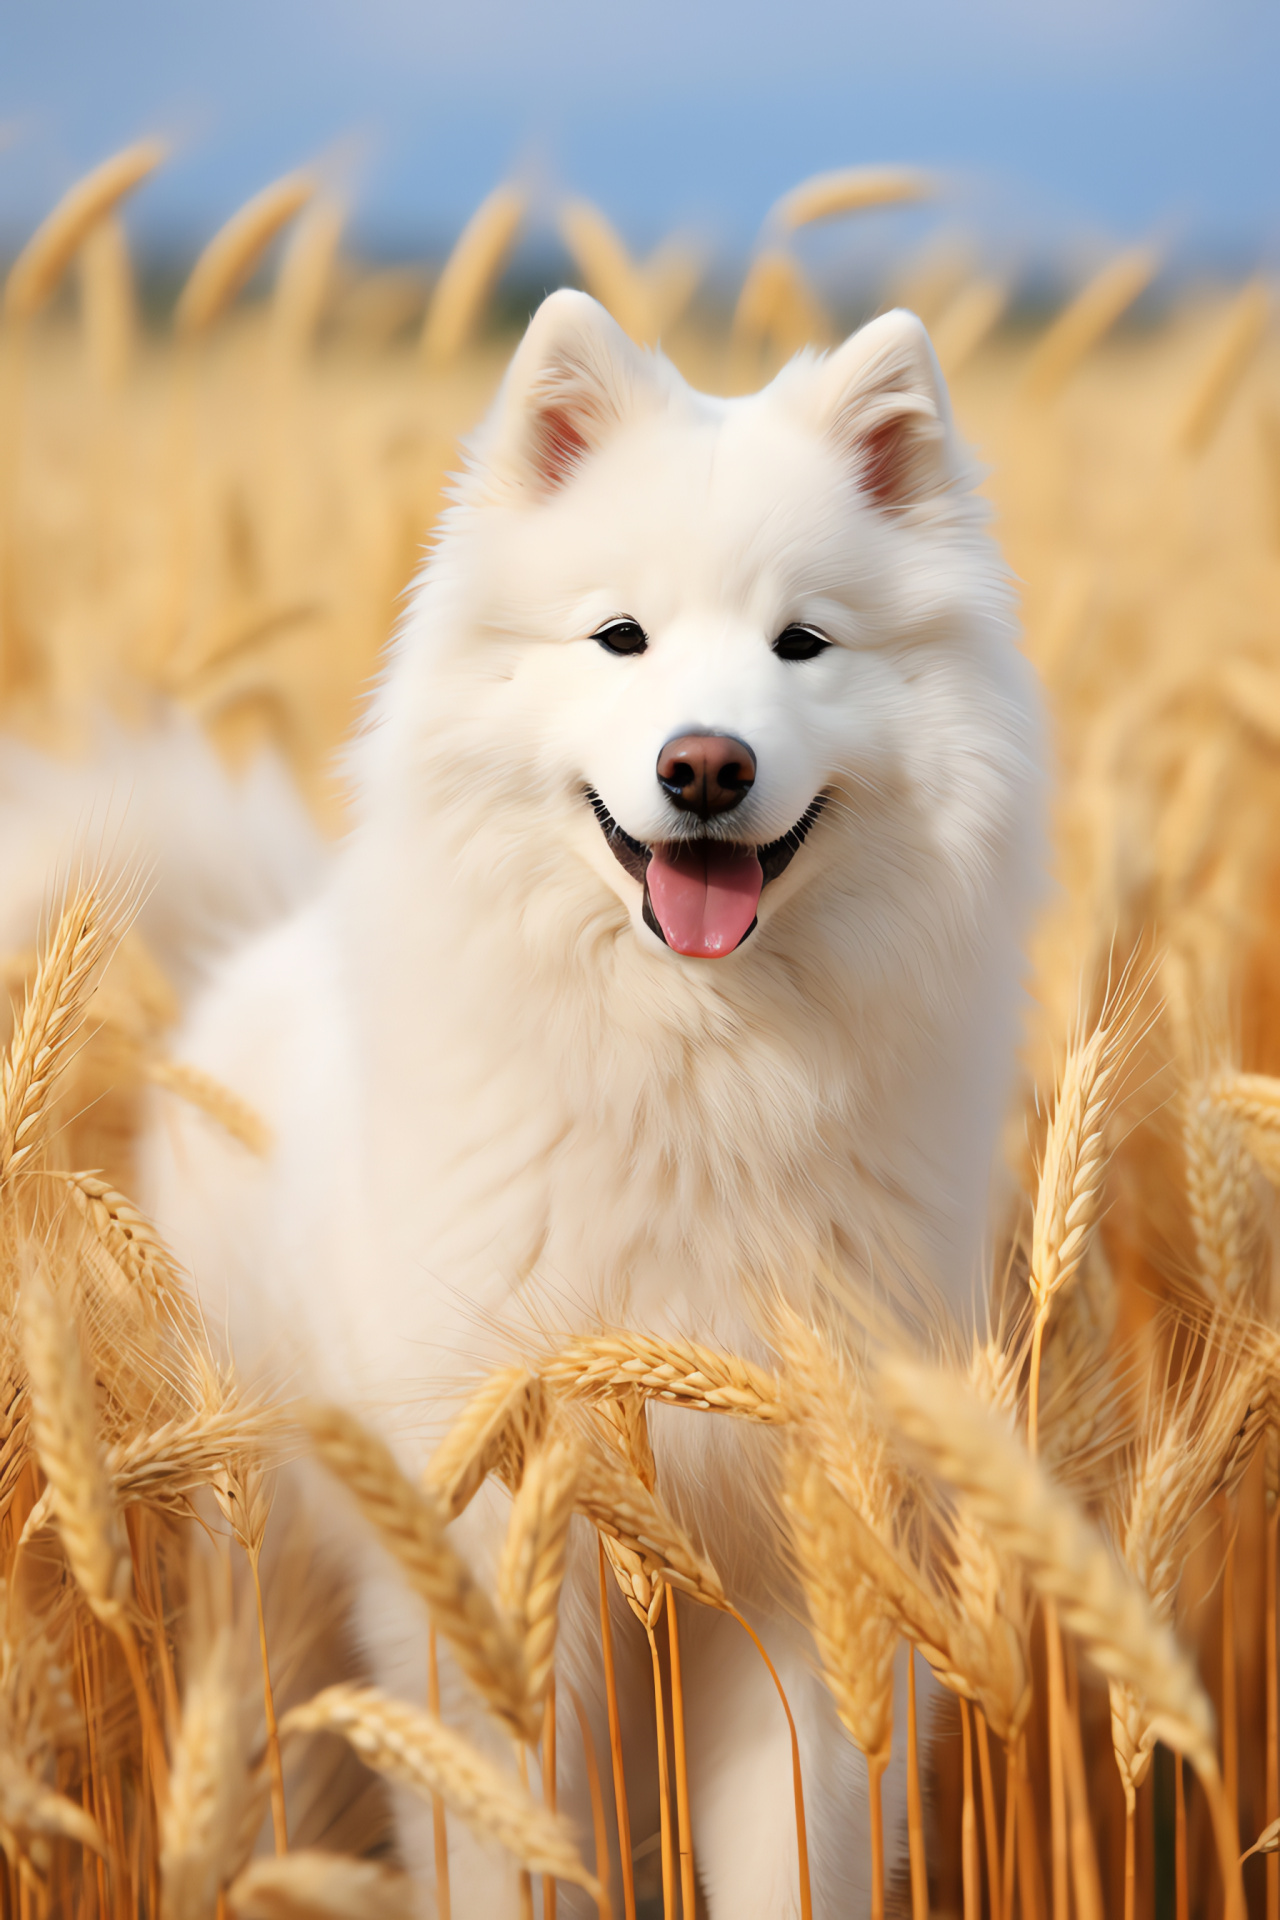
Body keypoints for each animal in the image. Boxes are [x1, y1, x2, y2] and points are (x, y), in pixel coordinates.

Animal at [132, 291, 1043, 1912]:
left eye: (804, 644)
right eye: (620, 637)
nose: (706, 765)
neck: (700, 1078)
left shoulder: (818, 1557)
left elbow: (791, 1854)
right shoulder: (486, 1557)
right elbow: (504, 1836)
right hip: (259, 1553)